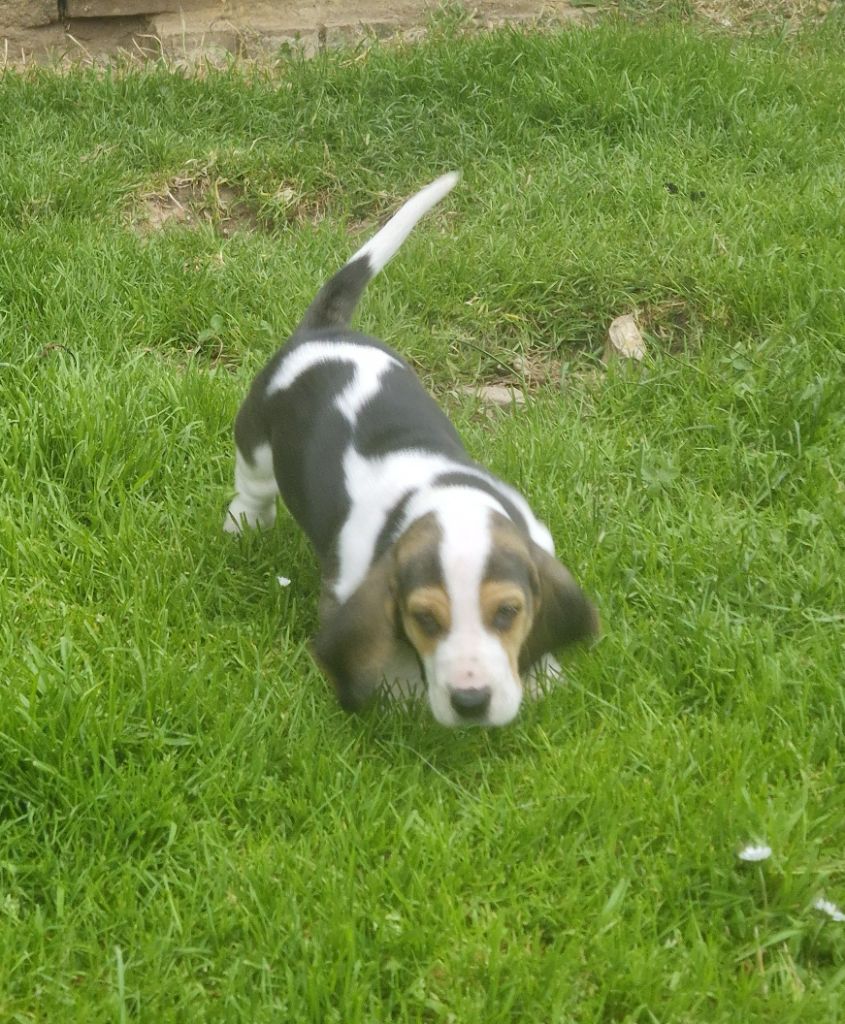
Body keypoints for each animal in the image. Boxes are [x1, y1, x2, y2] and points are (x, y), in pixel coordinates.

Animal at [225, 173, 598, 727]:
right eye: (424, 617)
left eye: (508, 612)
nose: (471, 702)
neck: (440, 492)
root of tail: (323, 332)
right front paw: (400, 694)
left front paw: (541, 676)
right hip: (256, 445)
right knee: (253, 487)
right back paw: (245, 522)